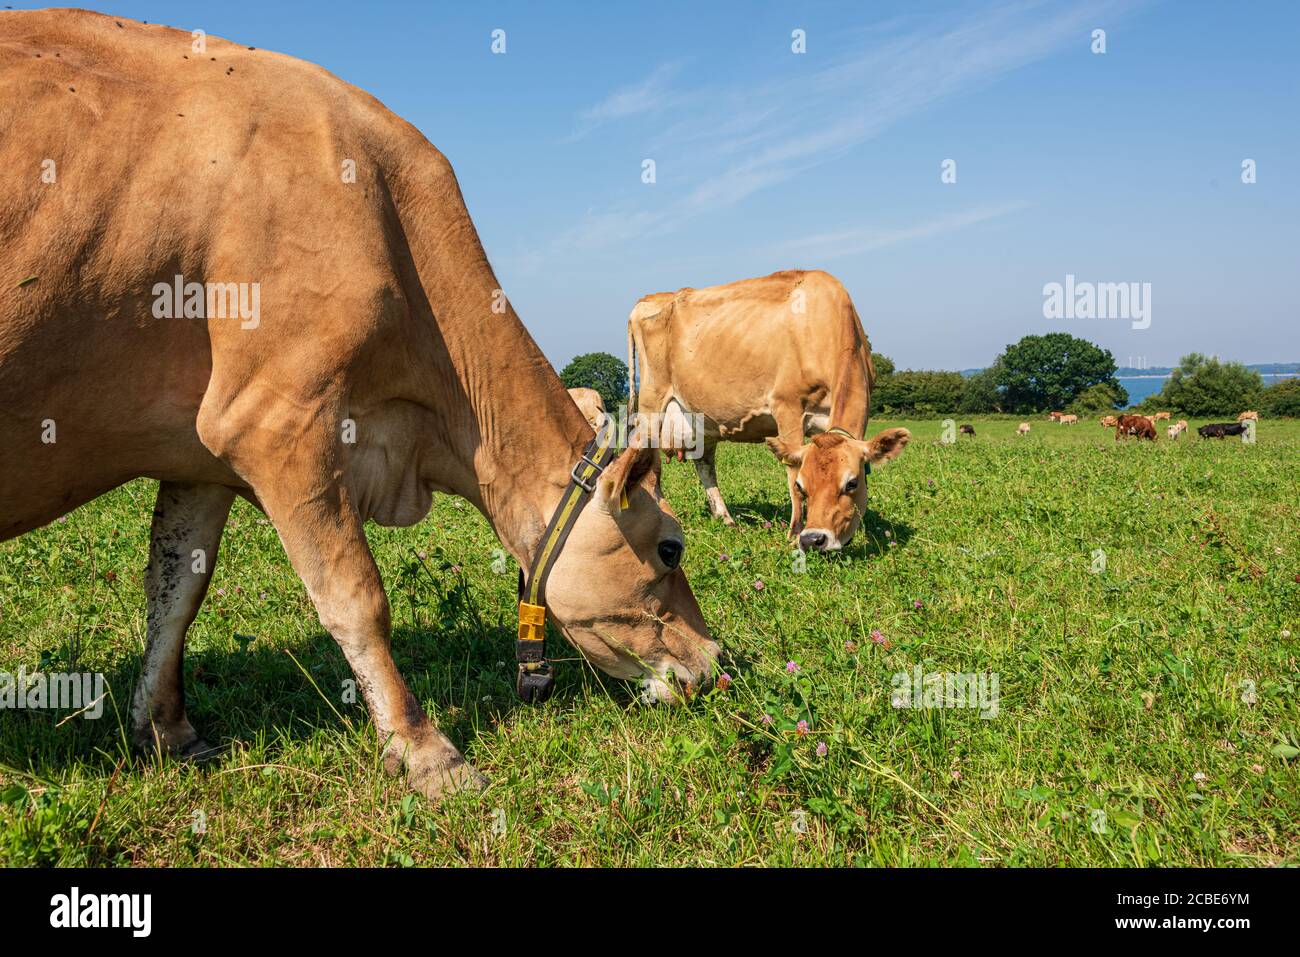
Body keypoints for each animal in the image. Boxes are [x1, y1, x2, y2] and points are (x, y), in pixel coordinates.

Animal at [0, 11, 717, 795]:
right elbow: (357, 596)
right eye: (670, 546)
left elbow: (174, 593)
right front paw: (428, 752)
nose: (716, 664)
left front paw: (165, 730)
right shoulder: (276, 420)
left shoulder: (198, 457)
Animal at [626, 269, 909, 546]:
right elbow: (791, 469)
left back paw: (726, 519)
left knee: (705, 464)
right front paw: (794, 534)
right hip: (651, 403)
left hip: (702, 419)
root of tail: (650, 298)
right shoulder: (787, 407)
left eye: (852, 483)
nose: (816, 538)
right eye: (803, 486)